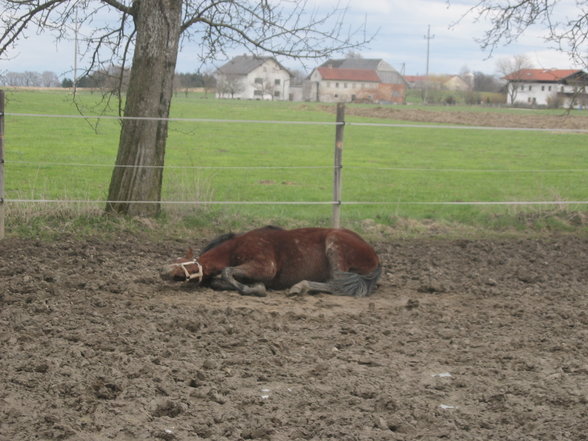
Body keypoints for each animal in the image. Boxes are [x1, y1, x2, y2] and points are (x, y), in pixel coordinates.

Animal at [161, 227, 382, 296]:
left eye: (183, 262)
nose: (163, 270)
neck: (235, 247)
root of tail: (375, 256)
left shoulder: (265, 266)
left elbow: (227, 272)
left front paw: (255, 289)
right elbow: (219, 279)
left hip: (334, 244)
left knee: (337, 284)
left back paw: (300, 287)